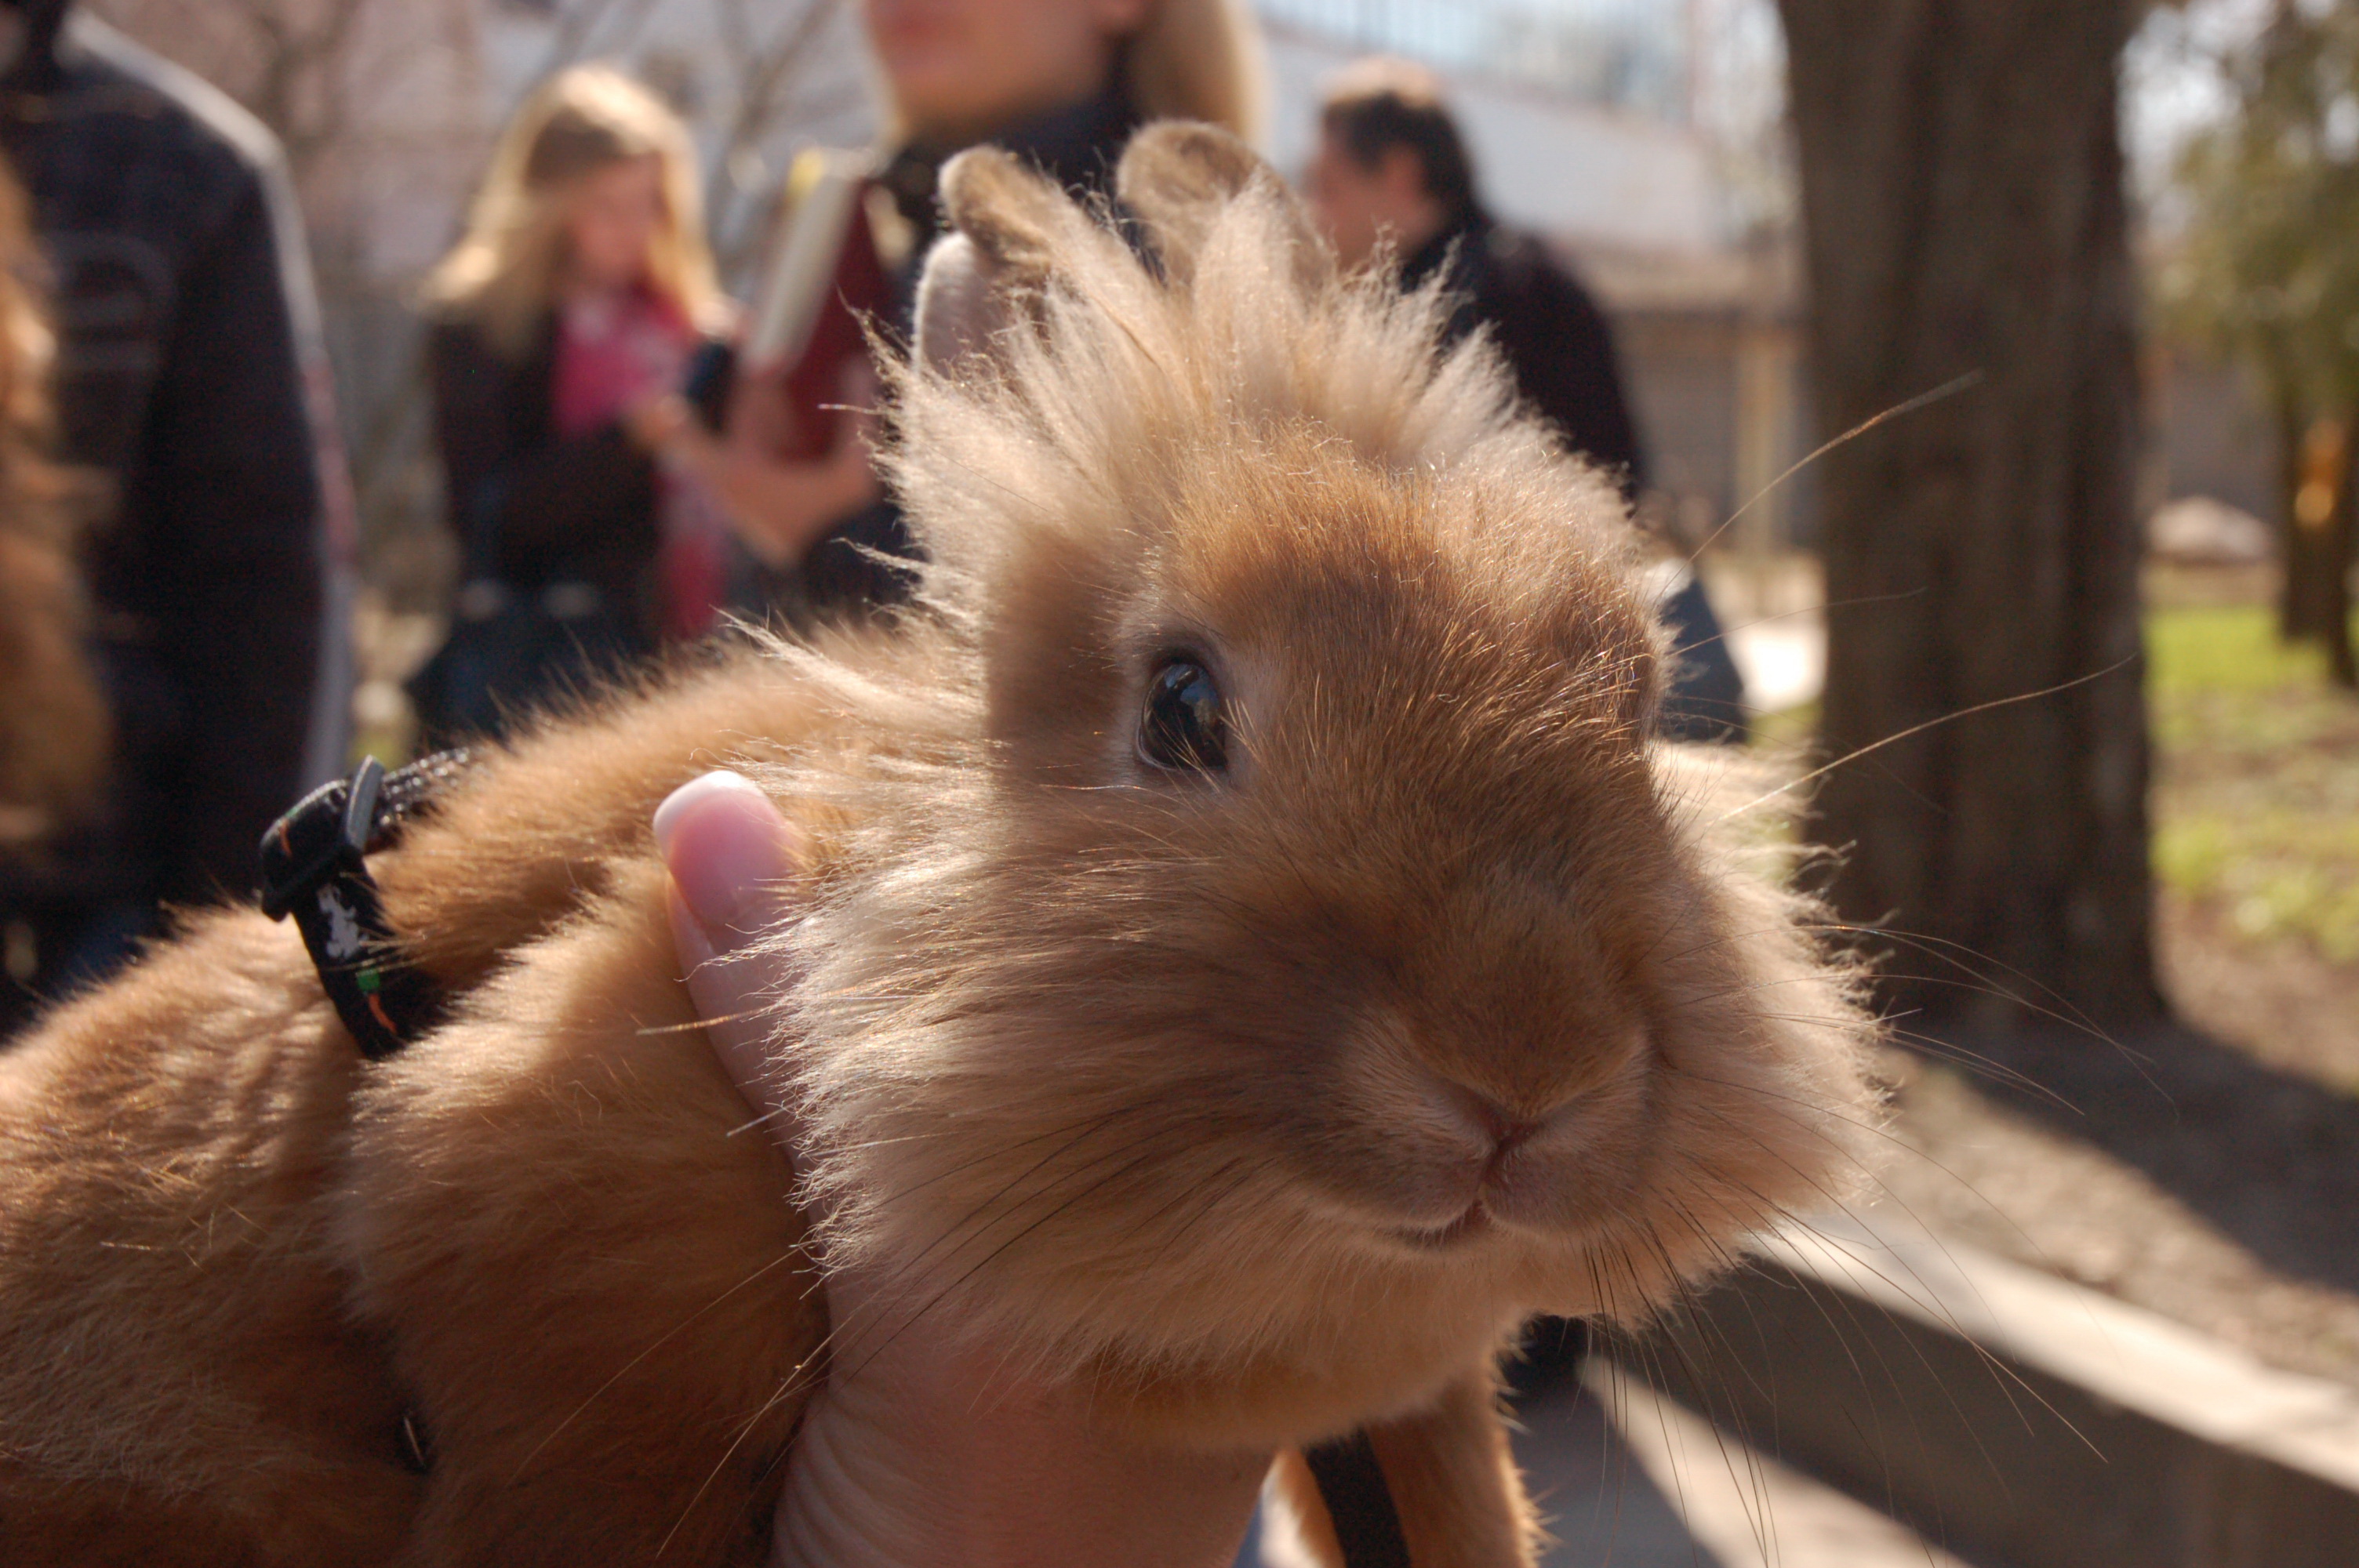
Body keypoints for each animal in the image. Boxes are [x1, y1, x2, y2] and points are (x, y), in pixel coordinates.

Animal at [0, 125, 1877, 1565]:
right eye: (1180, 707)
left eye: (1633, 698)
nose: (1521, 1076)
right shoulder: (556, 1225)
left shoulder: (1409, 1405)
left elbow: (1455, 1496)